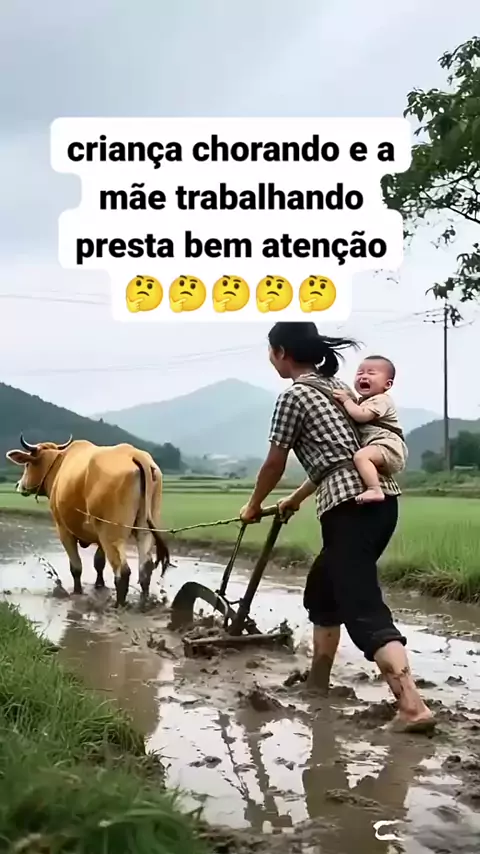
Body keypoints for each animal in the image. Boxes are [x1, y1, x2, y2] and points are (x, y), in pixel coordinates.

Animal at [6, 436, 170, 608]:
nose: (18, 485)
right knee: (145, 567)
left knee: (122, 571)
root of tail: (135, 455)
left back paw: (119, 605)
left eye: (27, 464)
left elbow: (76, 567)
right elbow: (99, 563)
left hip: (111, 534)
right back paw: (143, 602)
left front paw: (77, 592)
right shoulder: (98, 536)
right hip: (143, 530)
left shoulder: (64, 530)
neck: (58, 467)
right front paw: (99, 585)